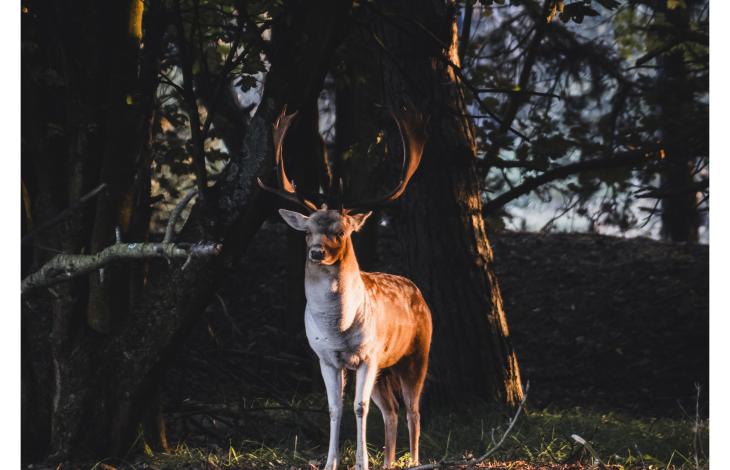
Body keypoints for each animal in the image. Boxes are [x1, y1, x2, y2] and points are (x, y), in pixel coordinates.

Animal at [256, 106, 430, 470]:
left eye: (341, 231)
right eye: (307, 231)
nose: (316, 252)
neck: (339, 328)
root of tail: (417, 291)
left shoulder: (368, 355)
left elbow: (358, 408)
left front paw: (361, 462)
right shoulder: (326, 357)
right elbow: (335, 408)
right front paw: (330, 463)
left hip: (416, 352)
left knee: (413, 410)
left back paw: (415, 460)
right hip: (384, 370)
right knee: (391, 411)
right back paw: (388, 462)